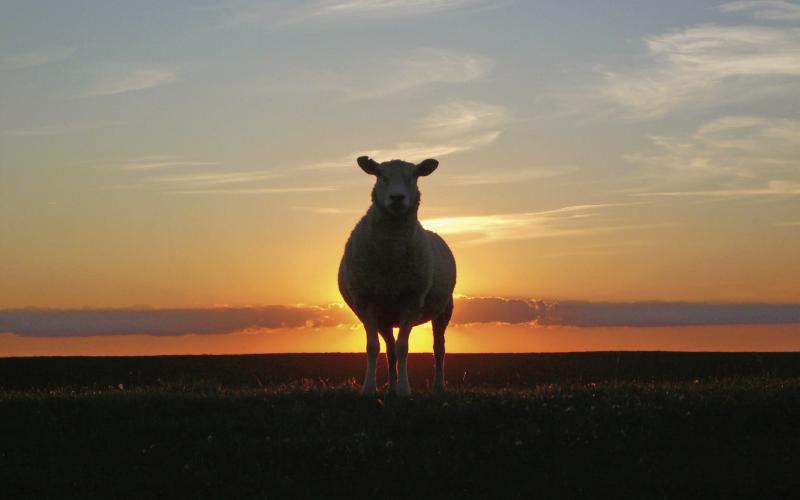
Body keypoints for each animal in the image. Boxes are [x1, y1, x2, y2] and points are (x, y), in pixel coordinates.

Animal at [338, 156, 457, 397]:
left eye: (414, 176)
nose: (397, 198)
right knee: (389, 349)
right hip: (385, 316)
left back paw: (439, 386)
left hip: (444, 310)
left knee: (439, 348)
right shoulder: (367, 304)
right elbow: (373, 348)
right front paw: (369, 389)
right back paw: (391, 387)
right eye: (381, 175)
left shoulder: (411, 302)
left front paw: (404, 389)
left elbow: (404, 347)